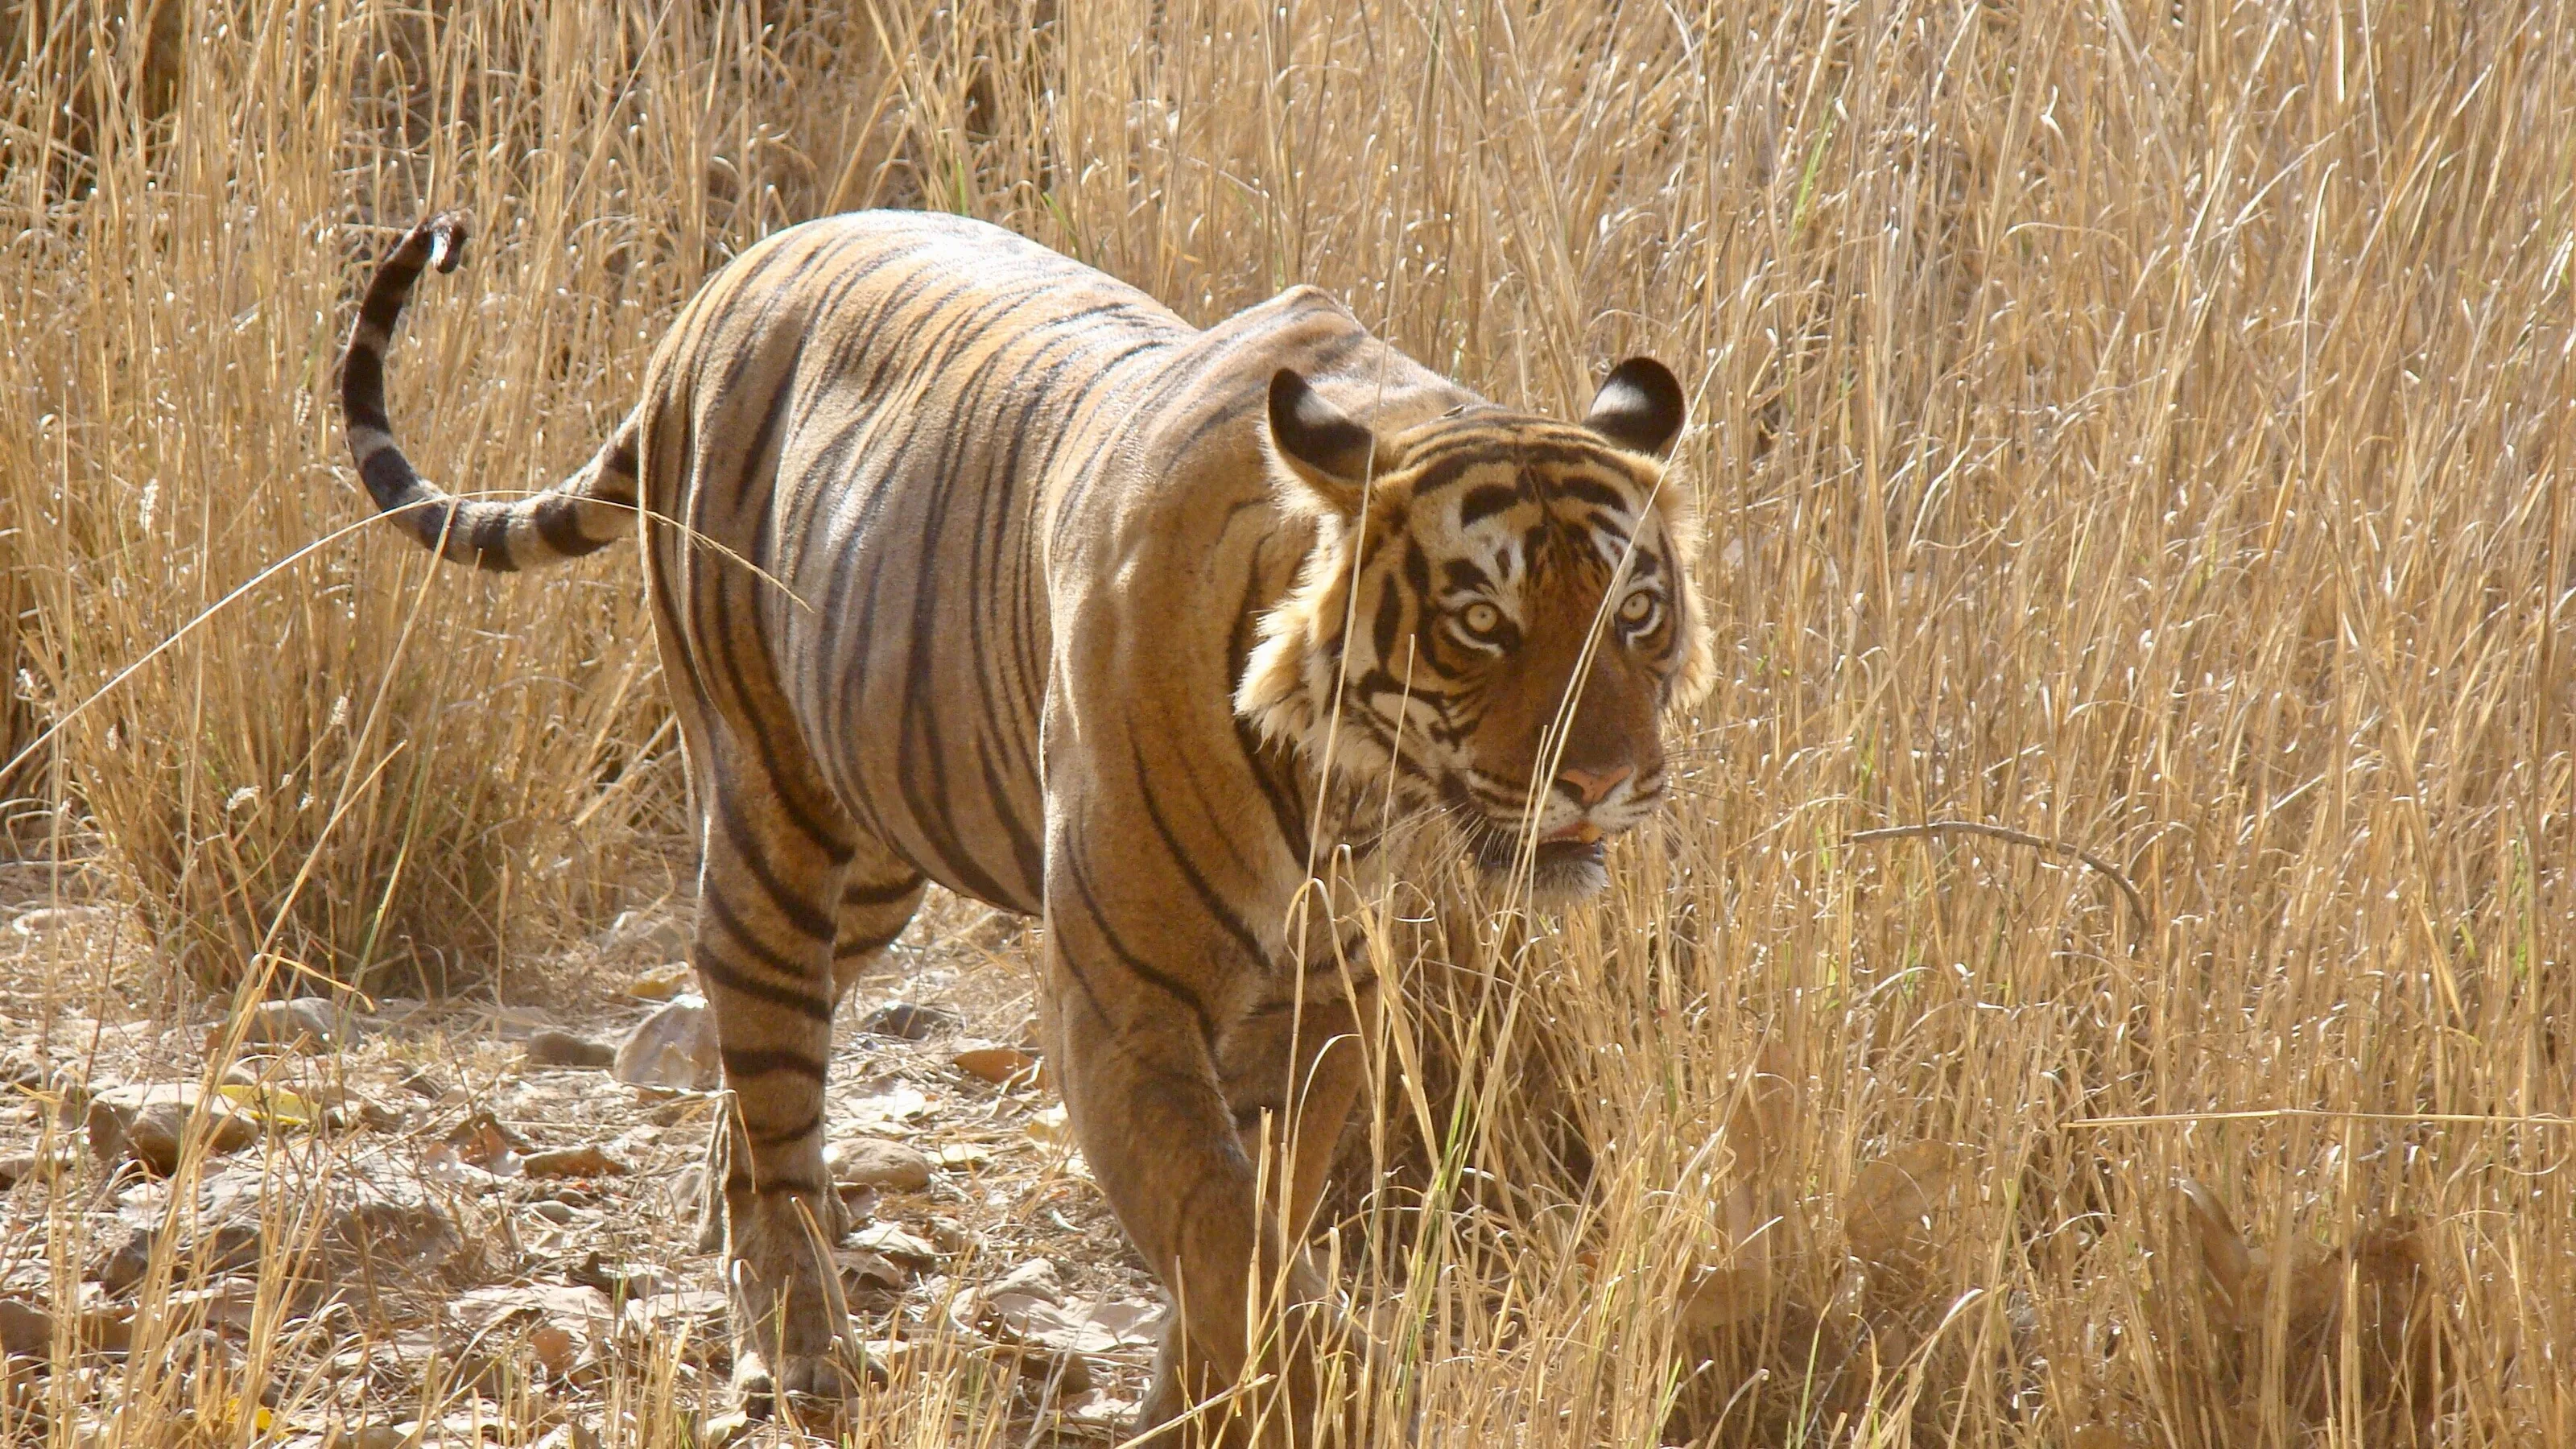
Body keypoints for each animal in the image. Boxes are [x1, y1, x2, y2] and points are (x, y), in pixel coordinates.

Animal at [337, 208, 1711, 1442]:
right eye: (1484, 623)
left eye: (1636, 611)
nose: (1609, 779)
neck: (1350, 774)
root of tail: (716, 290)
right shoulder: (1123, 1003)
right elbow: (1224, 1231)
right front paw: (1323, 1398)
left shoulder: (1319, 1003)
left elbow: (1246, 1225)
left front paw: (1207, 1404)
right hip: (770, 815)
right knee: (768, 1058)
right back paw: (797, 1343)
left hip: (880, 850)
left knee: (755, 1053)